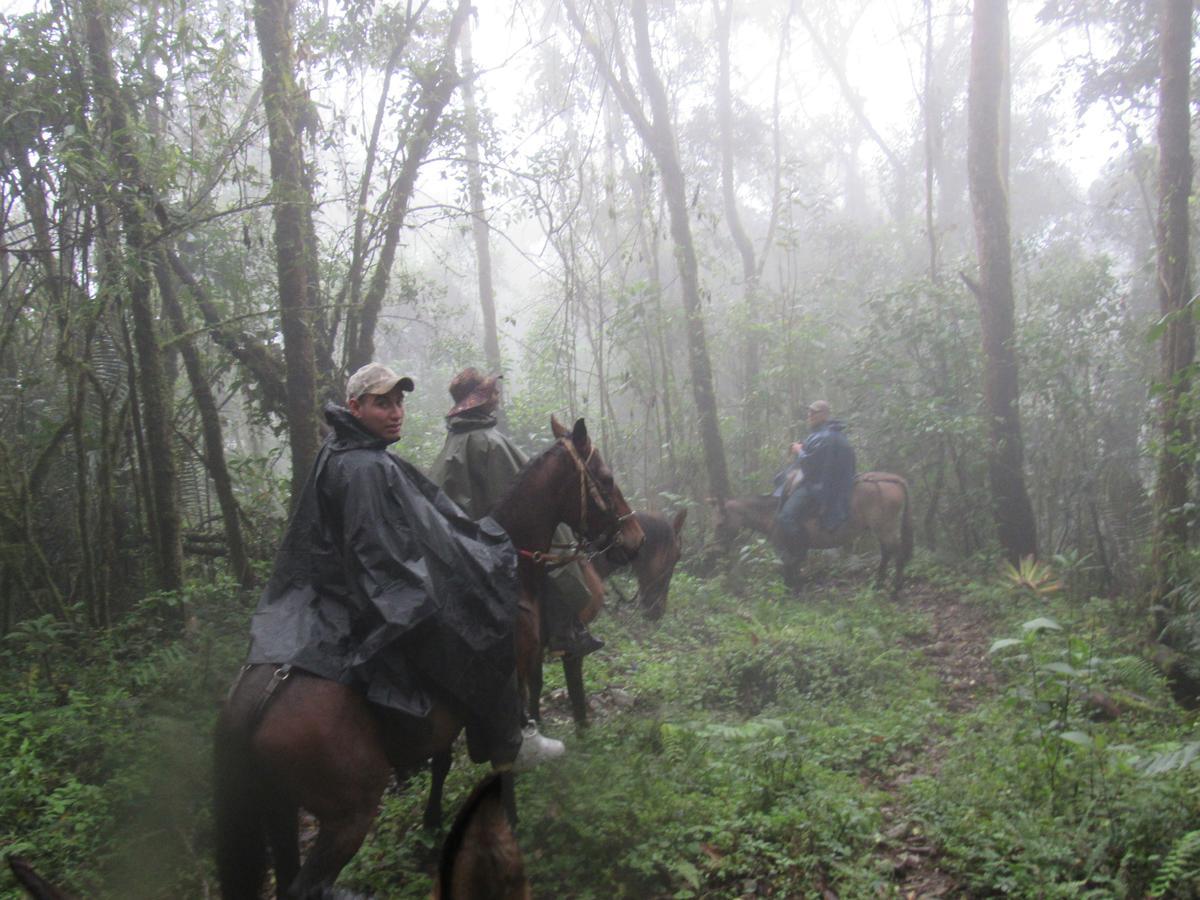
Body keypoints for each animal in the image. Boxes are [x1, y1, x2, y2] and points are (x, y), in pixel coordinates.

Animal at [216, 420, 648, 897]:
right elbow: (505, 753)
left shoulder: (451, 706)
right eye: (606, 478)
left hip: (280, 813)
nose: (636, 539)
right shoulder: (505, 678)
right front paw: (510, 821)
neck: (510, 574)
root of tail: (255, 703)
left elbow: (441, 760)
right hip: (348, 814)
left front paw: (432, 821)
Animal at [715, 472, 912, 600]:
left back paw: (894, 591)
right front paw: (796, 589)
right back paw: (879, 585)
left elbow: (789, 566)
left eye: (720, 524)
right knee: (887, 553)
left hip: (885, 528)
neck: (772, 513)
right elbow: (794, 566)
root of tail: (893, 479)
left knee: (898, 554)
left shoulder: (784, 546)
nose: (718, 548)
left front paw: (790, 592)